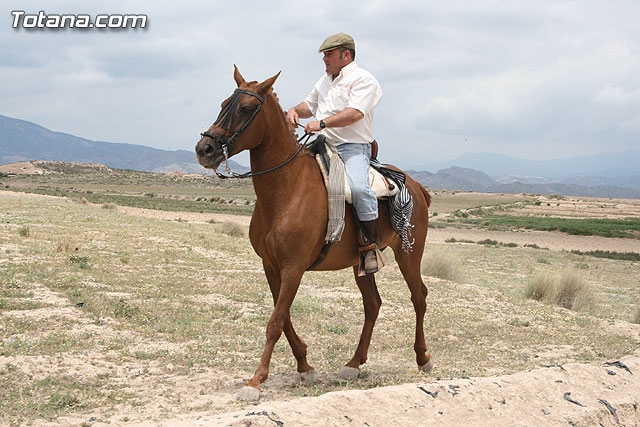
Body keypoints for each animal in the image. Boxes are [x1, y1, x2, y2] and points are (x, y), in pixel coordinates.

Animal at [195, 66, 433, 401]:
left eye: (246, 108)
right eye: (223, 103)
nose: (205, 149)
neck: (286, 187)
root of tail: (415, 185)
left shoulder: (293, 267)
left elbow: (275, 321)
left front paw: (255, 381)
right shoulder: (272, 266)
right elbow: (283, 317)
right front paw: (304, 366)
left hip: (409, 254)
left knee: (418, 296)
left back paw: (422, 357)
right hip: (363, 264)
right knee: (373, 305)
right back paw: (354, 363)